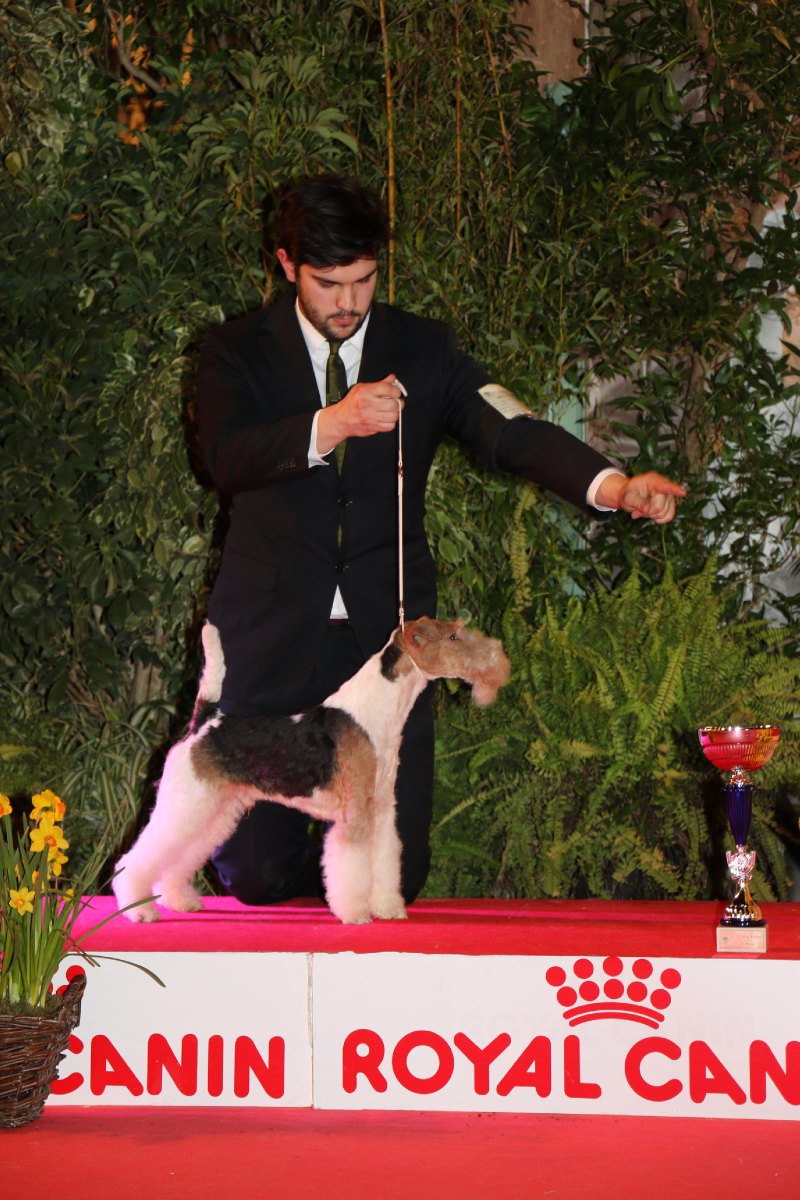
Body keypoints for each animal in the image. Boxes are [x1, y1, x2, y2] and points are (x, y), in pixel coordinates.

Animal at [113, 616, 510, 924]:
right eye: (454, 637)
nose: (501, 659)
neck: (377, 711)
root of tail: (205, 721)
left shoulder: (381, 808)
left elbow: (384, 859)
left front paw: (387, 908)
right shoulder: (356, 812)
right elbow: (350, 863)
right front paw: (356, 913)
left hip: (214, 810)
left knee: (178, 859)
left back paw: (179, 900)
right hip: (186, 803)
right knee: (139, 855)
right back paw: (139, 910)